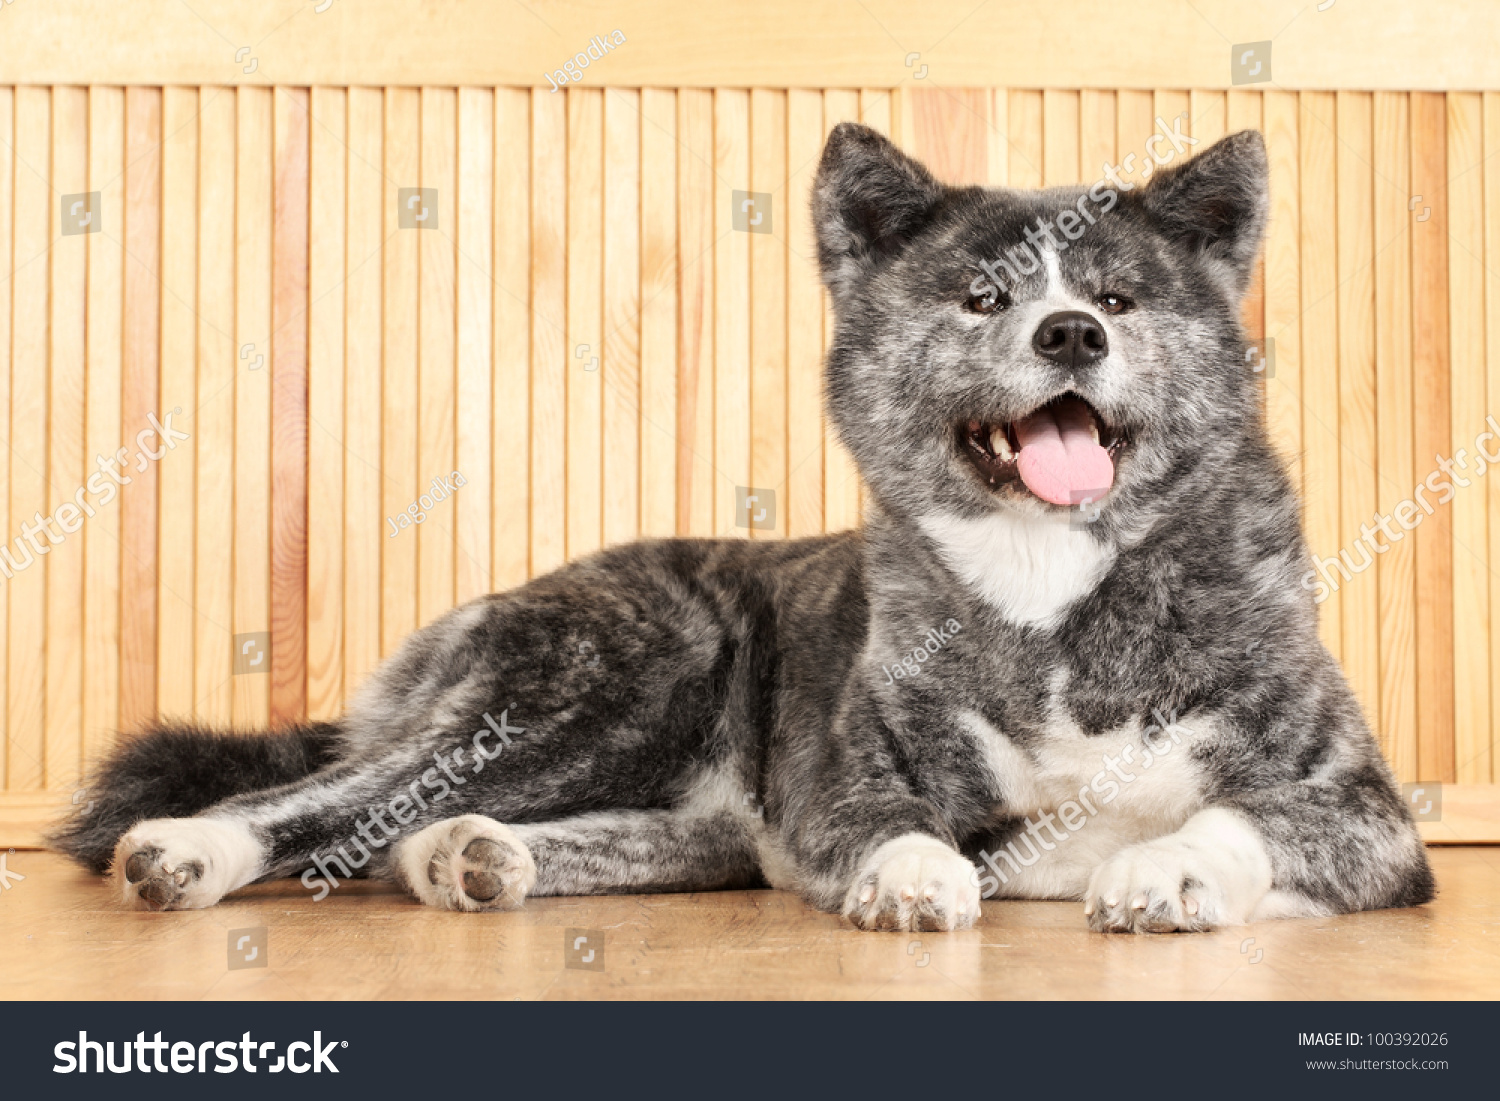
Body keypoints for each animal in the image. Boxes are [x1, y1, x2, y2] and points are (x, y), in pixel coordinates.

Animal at [52, 123, 1434, 930]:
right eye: (984, 298)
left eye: (1119, 298)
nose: (1070, 334)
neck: (1051, 584)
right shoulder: (843, 785)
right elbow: (911, 822)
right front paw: (916, 871)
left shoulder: (1366, 815)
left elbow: (1237, 816)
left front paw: (1162, 867)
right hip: (620, 676)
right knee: (331, 799)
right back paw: (189, 851)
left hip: (681, 795)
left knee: (446, 834)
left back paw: (472, 856)